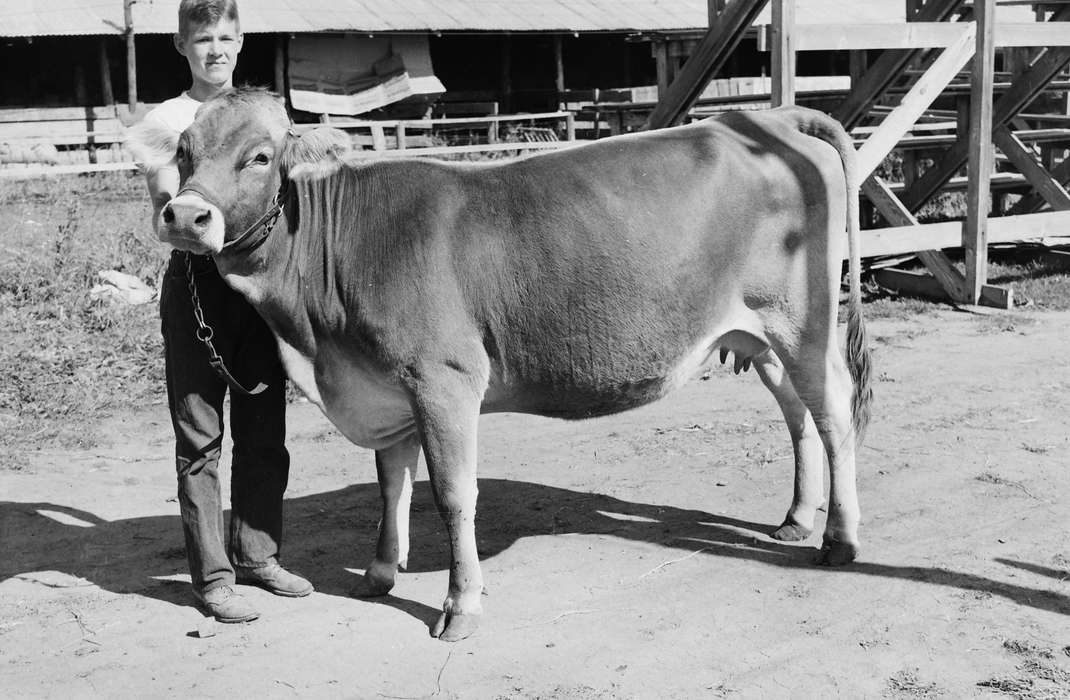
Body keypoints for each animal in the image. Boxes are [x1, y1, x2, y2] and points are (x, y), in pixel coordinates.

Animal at [127, 87, 872, 642]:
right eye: (185, 152)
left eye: (259, 156)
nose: (185, 216)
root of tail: (758, 118)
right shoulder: (384, 388)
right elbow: (392, 484)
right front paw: (379, 573)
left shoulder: (443, 380)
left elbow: (453, 497)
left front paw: (460, 607)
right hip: (758, 332)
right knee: (798, 412)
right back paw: (798, 516)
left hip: (801, 320)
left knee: (833, 412)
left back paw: (839, 539)